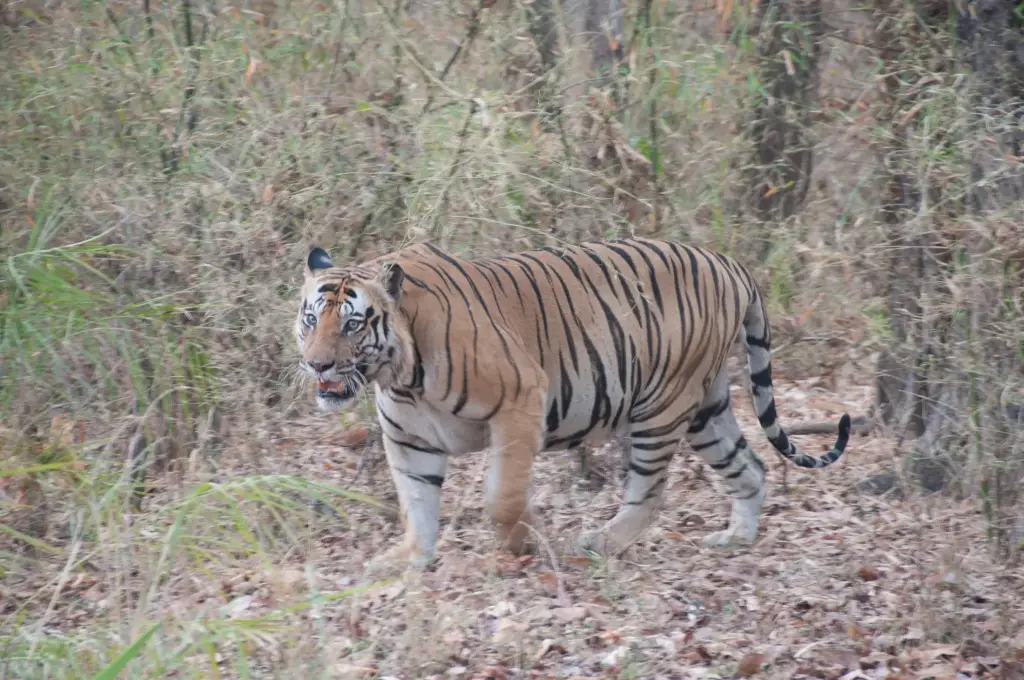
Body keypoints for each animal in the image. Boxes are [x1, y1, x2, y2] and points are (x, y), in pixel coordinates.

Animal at [295, 238, 851, 573]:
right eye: (311, 319)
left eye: (353, 324)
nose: (318, 365)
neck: (401, 376)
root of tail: (727, 261)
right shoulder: (410, 439)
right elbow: (417, 503)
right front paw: (407, 560)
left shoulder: (521, 400)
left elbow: (502, 495)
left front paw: (525, 542)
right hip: (706, 409)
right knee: (750, 465)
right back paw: (737, 538)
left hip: (662, 404)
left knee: (648, 492)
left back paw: (600, 544)